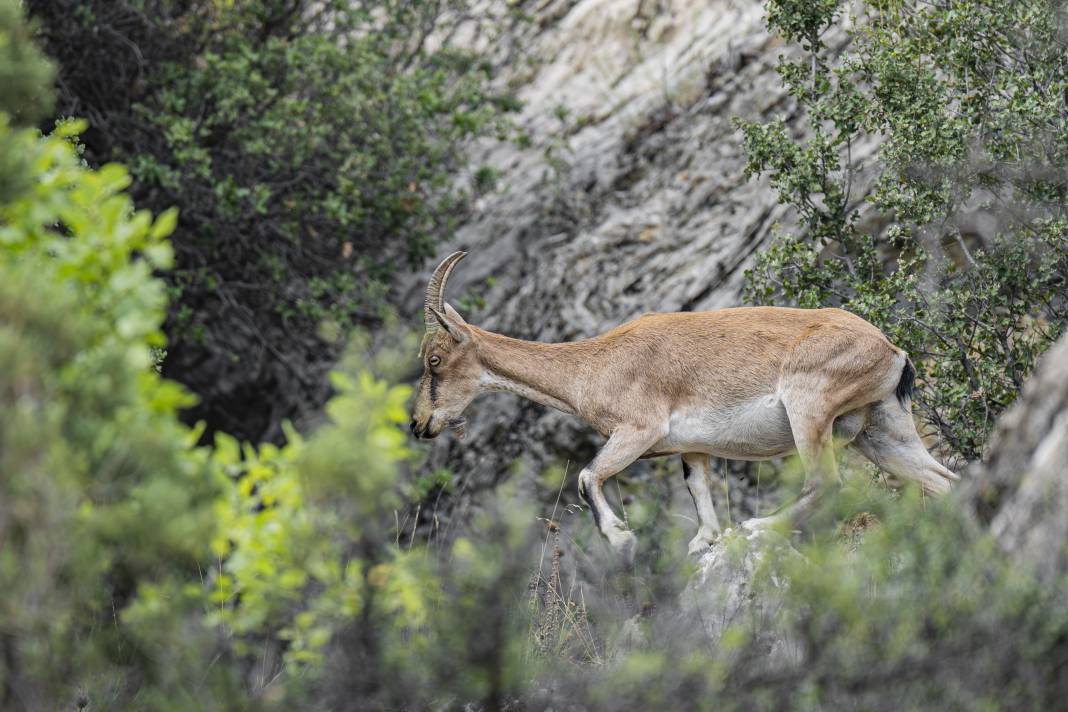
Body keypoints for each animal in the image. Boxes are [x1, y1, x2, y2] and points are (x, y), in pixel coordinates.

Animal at [410, 252, 961, 559]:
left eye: (434, 359)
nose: (420, 424)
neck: (595, 364)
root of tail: (892, 351)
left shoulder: (637, 432)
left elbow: (587, 476)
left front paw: (622, 540)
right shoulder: (691, 449)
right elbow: (698, 492)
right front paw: (704, 542)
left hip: (811, 411)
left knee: (825, 481)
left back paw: (760, 527)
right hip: (880, 431)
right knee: (942, 481)